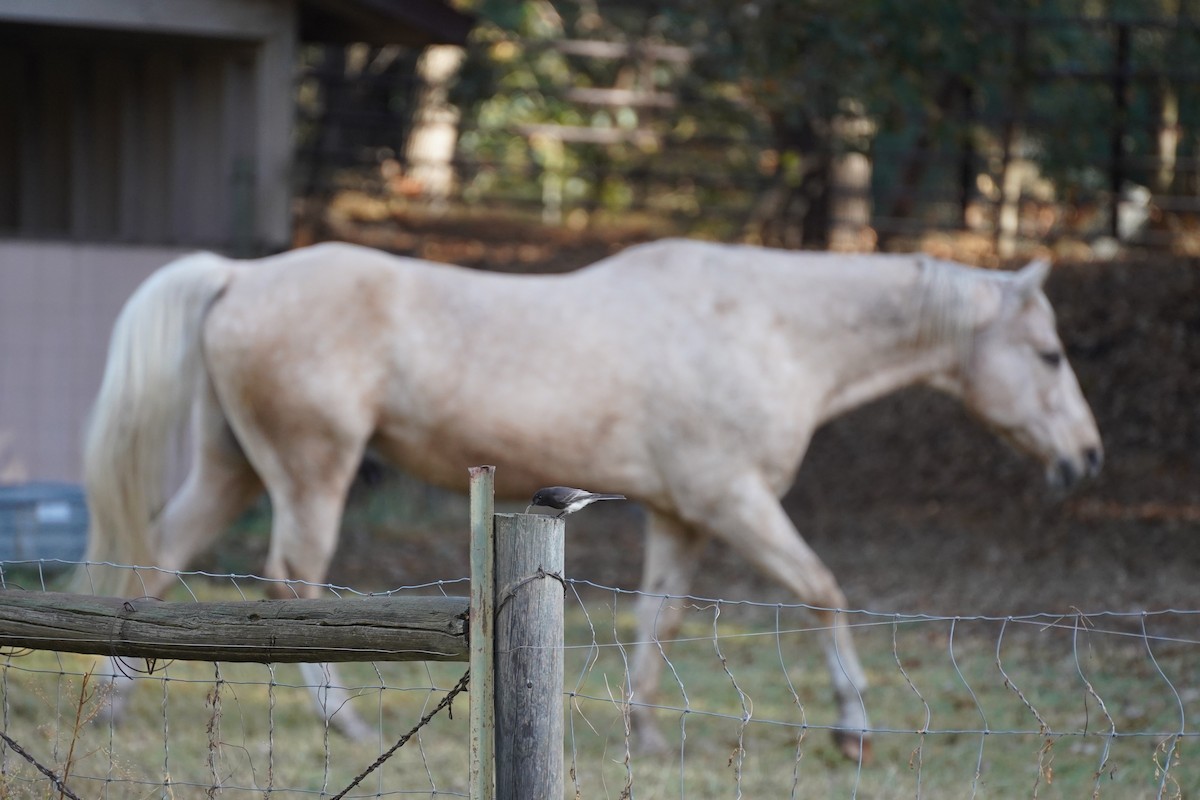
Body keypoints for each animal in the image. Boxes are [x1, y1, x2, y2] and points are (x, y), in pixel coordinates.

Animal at [79, 237, 1099, 758]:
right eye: (1049, 354)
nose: (1085, 459)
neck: (763, 325)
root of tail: (240, 273)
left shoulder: (682, 516)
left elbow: (661, 613)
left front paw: (644, 728)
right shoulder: (734, 501)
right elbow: (823, 590)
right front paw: (852, 724)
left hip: (234, 469)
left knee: (161, 558)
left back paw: (116, 704)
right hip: (308, 470)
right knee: (290, 579)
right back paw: (344, 717)